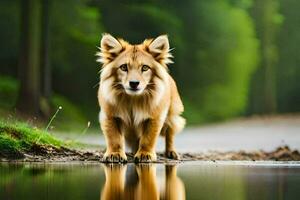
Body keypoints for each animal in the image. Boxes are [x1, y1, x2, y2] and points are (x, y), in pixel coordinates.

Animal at [96, 33, 185, 162]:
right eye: (123, 67)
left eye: (145, 68)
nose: (134, 83)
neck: (133, 100)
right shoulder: (110, 115)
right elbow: (114, 138)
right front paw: (114, 154)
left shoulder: (154, 117)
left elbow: (148, 139)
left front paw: (145, 154)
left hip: (172, 115)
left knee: (170, 133)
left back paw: (171, 153)